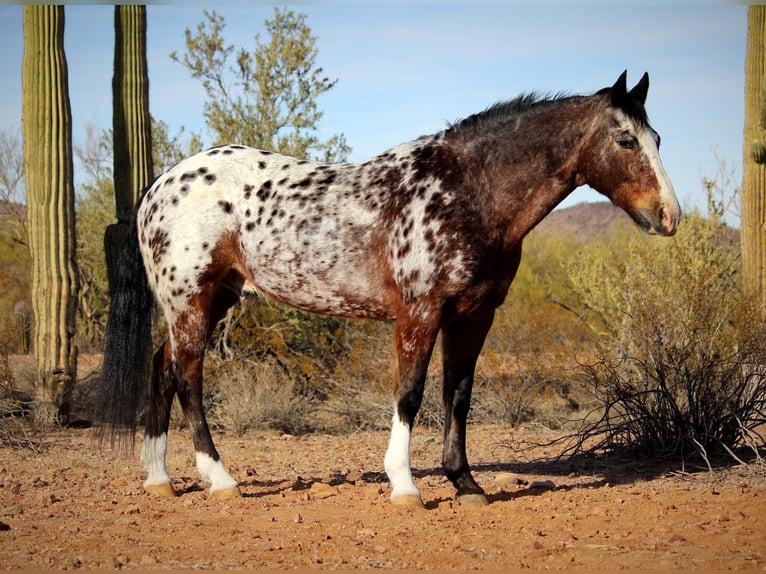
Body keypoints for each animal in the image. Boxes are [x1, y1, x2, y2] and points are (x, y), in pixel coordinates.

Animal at [94, 72, 684, 508]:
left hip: (208, 301)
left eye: (658, 139)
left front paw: (465, 483)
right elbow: (410, 394)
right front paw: (405, 486)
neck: (467, 191)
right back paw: (220, 479)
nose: (669, 216)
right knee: (187, 378)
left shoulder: (474, 316)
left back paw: (159, 478)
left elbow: (458, 396)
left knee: (162, 367)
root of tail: (160, 184)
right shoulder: (420, 314)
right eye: (625, 139)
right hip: (190, 302)